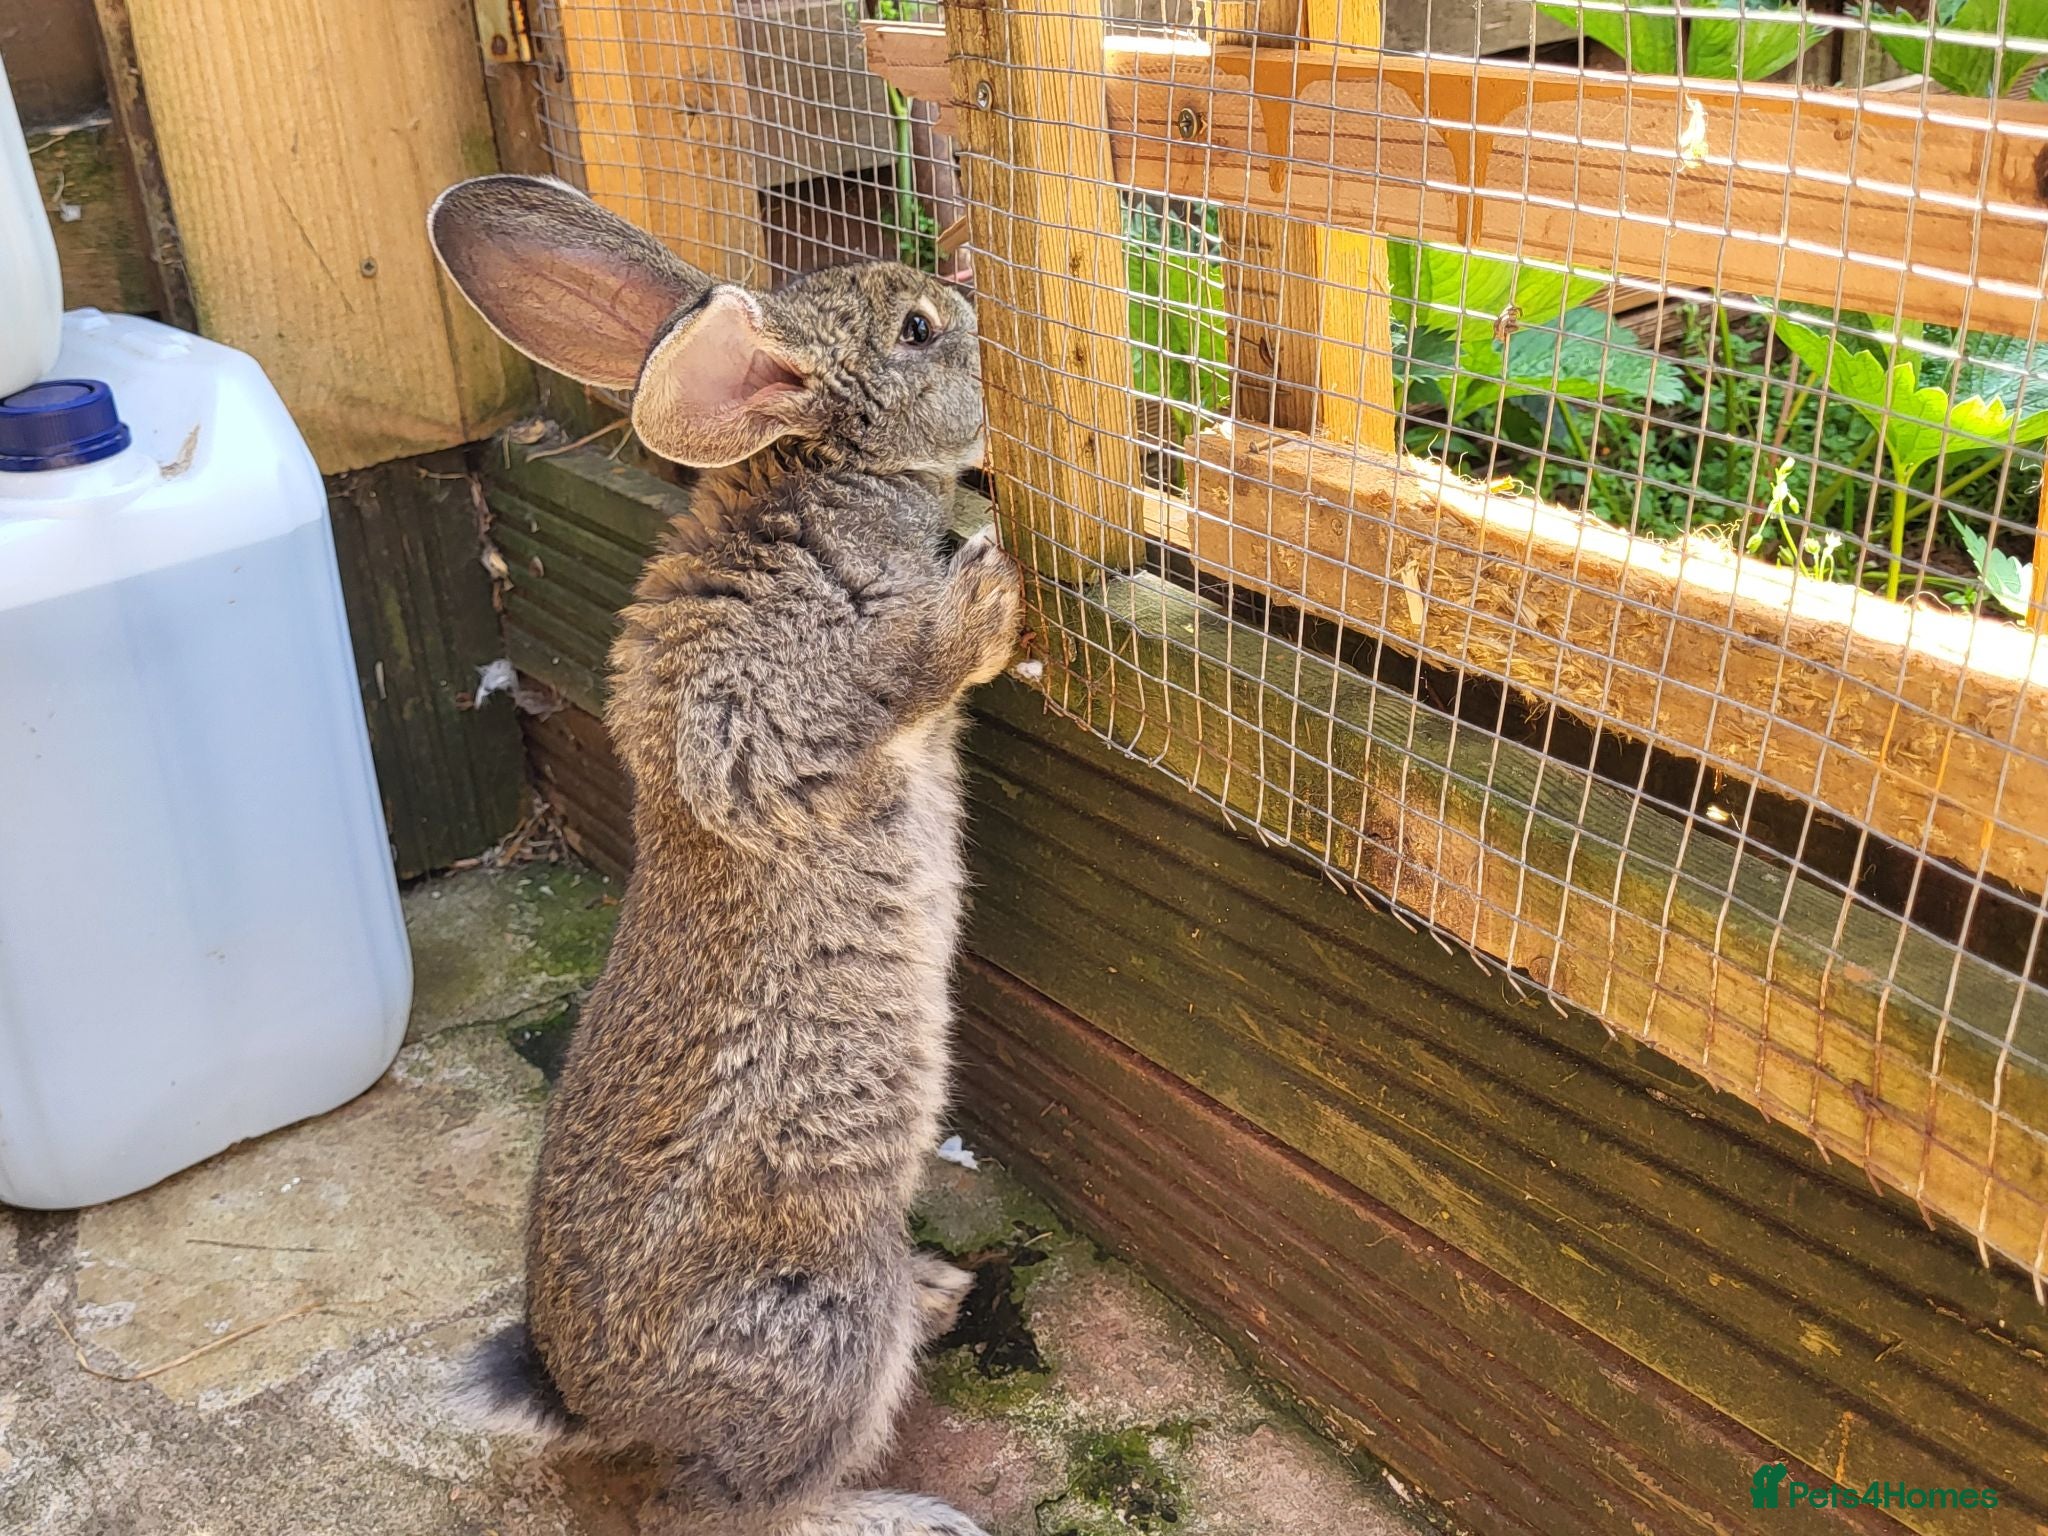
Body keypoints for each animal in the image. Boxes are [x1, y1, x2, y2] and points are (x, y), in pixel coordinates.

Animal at [426, 174, 1022, 1536]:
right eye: (915, 332)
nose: (966, 295)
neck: (821, 466)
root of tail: (589, 1406)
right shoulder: (764, 719)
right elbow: (887, 682)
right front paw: (987, 596)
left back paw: (937, 1293)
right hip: (816, 1325)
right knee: (736, 1509)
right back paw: (910, 1509)